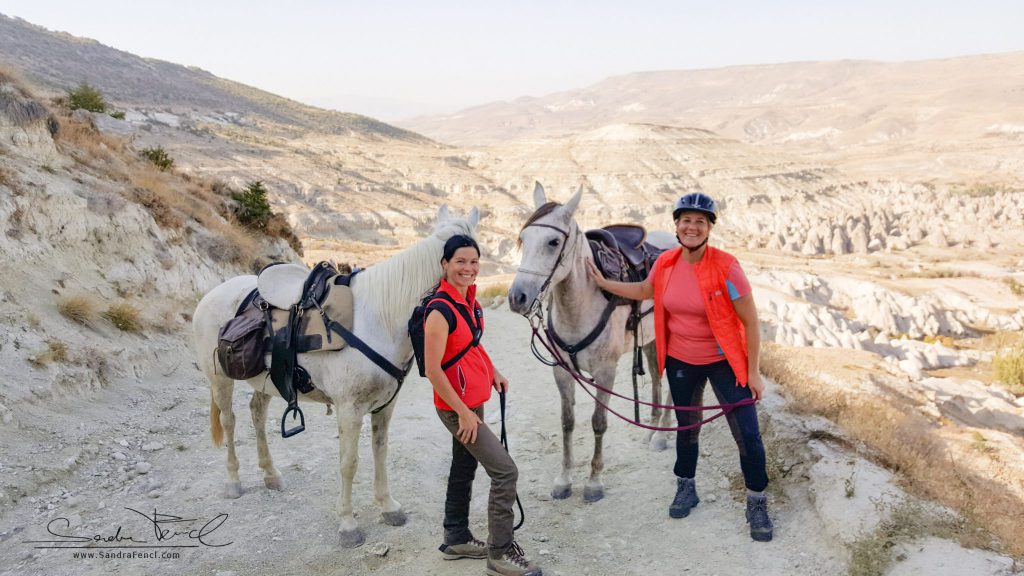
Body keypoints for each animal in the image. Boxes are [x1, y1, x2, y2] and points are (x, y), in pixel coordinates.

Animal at [192, 203, 479, 545]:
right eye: (461, 258)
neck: (378, 318)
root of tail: (213, 293)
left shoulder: (385, 407)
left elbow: (380, 452)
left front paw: (388, 506)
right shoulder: (350, 410)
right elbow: (348, 464)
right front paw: (348, 524)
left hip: (265, 381)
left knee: (257, 414)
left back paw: (270, 474)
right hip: (219, 379)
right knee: (229, 421)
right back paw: (233, 480)